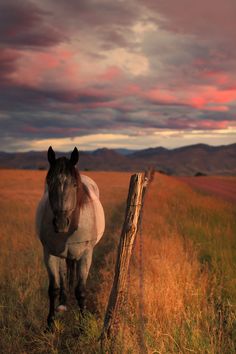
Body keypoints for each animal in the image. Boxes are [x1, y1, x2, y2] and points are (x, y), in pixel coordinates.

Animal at [35, 145, 104, 328]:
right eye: (49, 182)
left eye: (74, 184)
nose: (60, 223)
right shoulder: (49, 253)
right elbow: (53, 288)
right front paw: (50, 323)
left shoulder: (86, 255)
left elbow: (81, 291)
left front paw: (83, 323)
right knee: (63, 274)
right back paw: (63, 303)